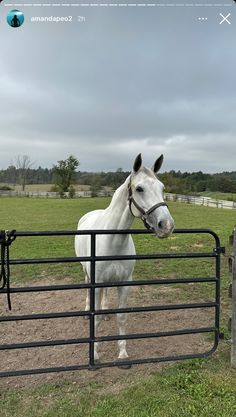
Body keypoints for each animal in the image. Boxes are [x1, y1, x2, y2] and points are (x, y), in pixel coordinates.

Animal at [74, 154, 174, 362]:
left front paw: (122, 353)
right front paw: (94, 353)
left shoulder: (125, 282)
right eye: (139, 188)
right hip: (86, 271)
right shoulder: (96, 282)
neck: (113, 240)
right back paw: (87, 311)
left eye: (162, 188)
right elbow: (95, 317)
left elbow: (121, 317)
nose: (166, 225)